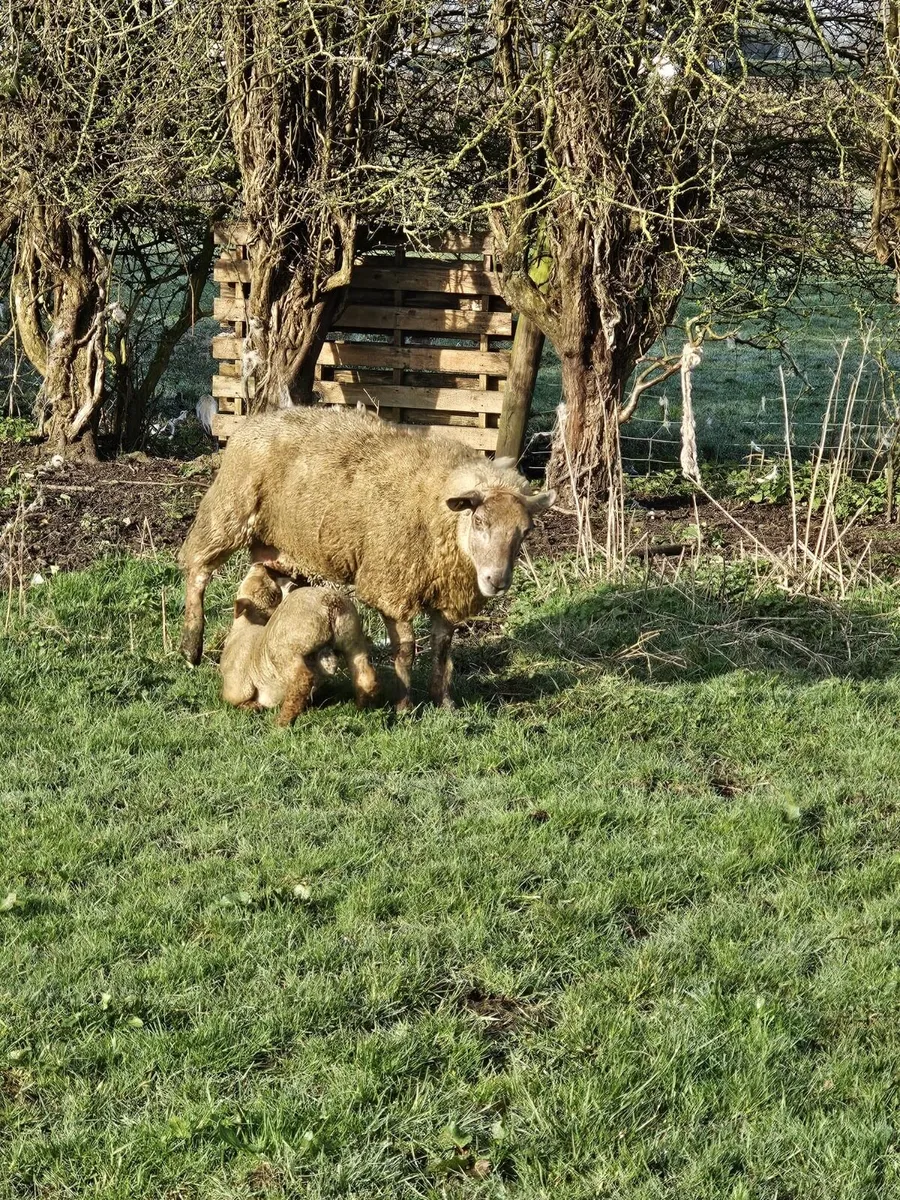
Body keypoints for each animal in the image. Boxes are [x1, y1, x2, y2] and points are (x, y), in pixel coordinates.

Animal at [179, 407, 555, 708]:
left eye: (526, 531)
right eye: (479, 521)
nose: (497, 581)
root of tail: (255, 420)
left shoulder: (448, 595)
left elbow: (442, 649)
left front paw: (443, 702)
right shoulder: (391, 586)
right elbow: (405, 650)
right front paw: (404, 705)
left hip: (281, 548)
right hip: (227, 514)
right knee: (197, 570)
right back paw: (191, 647)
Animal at [220, 563, 378, 725]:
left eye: (274, 595)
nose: (260, 565)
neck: (242, 628)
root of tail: (329, 602)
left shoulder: (237, 687)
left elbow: (233, 699)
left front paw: (251, 706)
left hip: (286, 649)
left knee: (302, 679)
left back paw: (282, 721)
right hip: (353, 639)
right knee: (364, 675)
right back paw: (363, 707)